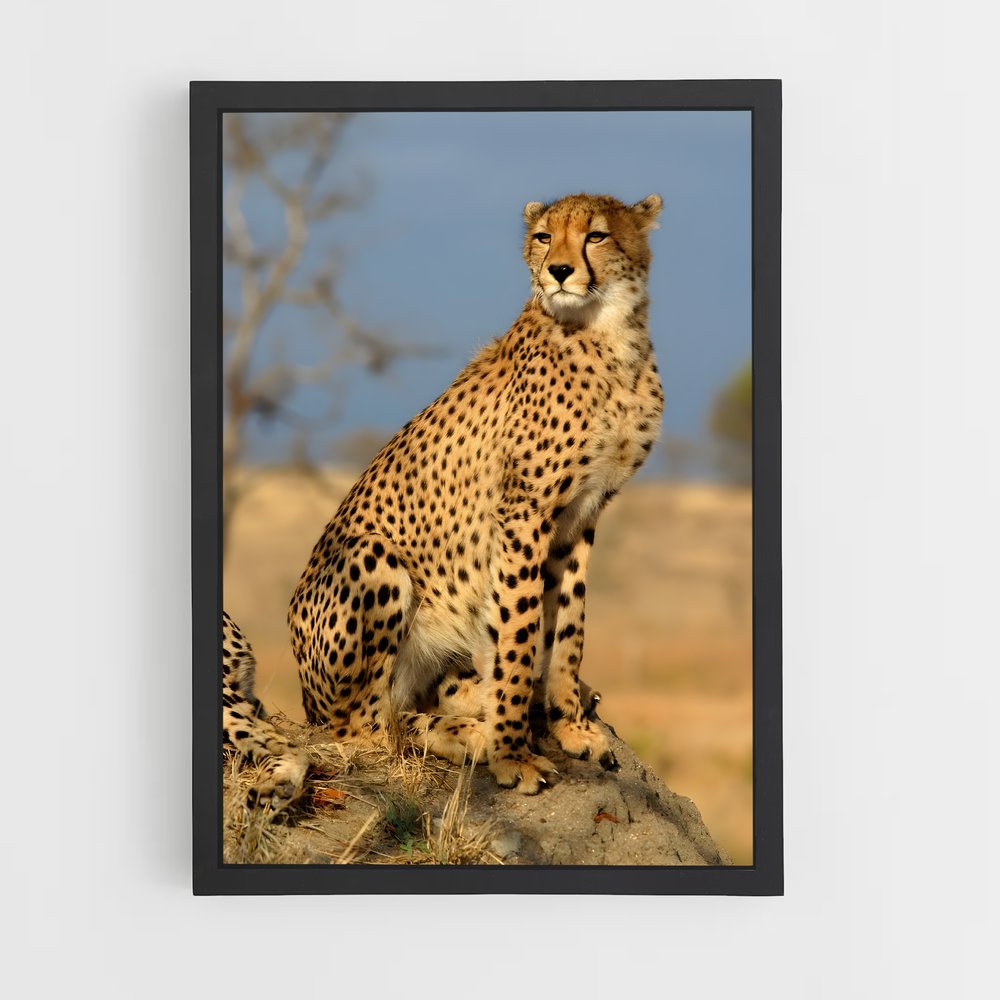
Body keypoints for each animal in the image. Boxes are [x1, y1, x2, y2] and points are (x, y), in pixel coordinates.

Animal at [277, 192, 666, 796]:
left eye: (596, 235)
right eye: (542, 236)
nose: (558, 271)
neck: (608, 334)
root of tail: (304, 697)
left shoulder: (581, 514)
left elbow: (568, 627)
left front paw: (571, 726)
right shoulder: (524, 512)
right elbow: (521, 630)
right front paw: (513, 754)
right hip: (371, 558)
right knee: (370, 730)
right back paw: (471, 734)